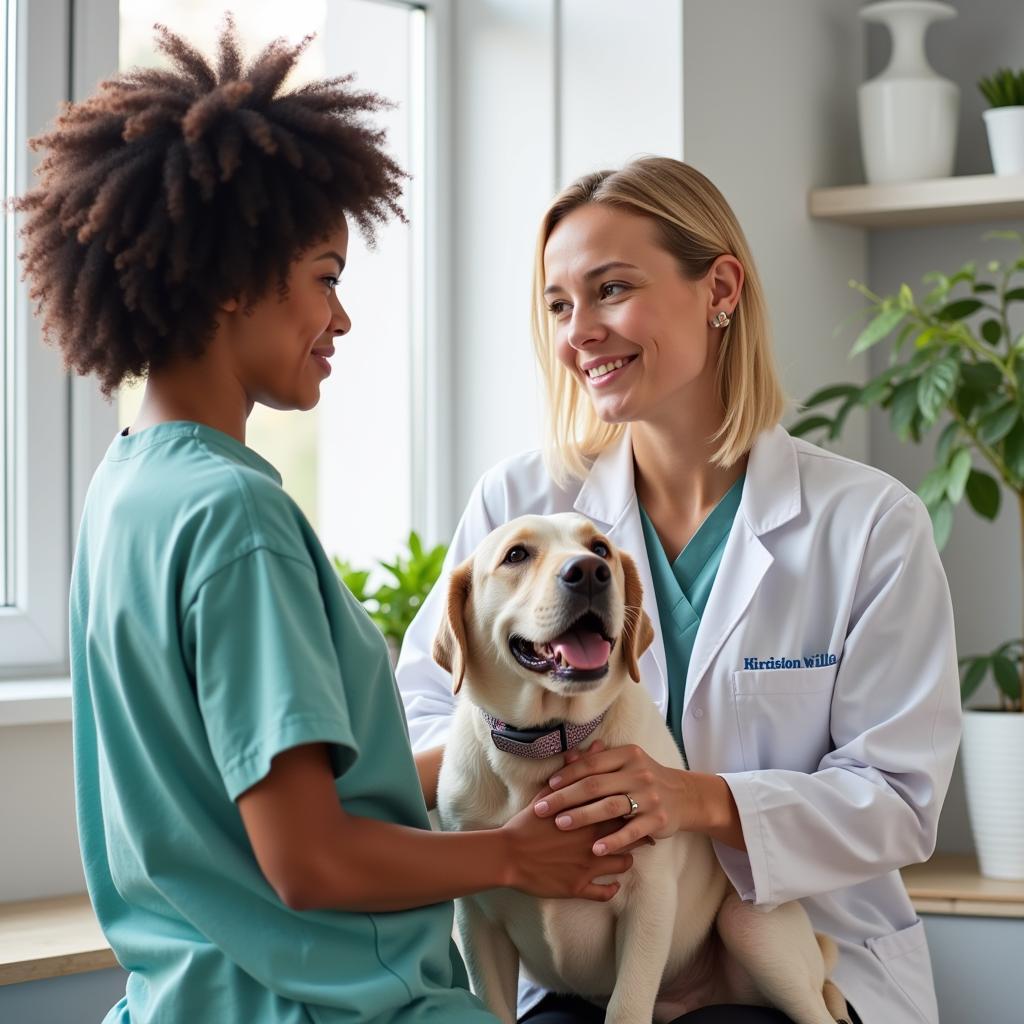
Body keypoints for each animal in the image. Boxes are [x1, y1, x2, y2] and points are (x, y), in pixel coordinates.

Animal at [430, 516, 847, 1024]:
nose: (589, 573)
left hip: (751, 925)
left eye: (600, 549)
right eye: (516, 555)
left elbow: (627, 1004)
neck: (547, 742)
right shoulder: (477, 920)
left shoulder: (649, 899)